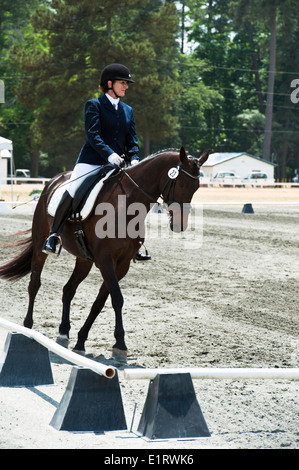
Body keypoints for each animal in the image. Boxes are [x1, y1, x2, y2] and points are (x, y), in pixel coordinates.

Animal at [0, 149, 210, 362]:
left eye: (196, 187)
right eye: (181, 183)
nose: (180, 224)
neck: (126, 204)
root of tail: (53, 181)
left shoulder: (122, 264)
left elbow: (100, 302)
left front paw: (81, 342)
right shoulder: (105, 259)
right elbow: (117, 298)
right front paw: (120, 345)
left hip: (83, 259)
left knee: (68, 289)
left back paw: (63, 334)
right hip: (40, 245)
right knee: (34, 284)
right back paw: (27, 328)